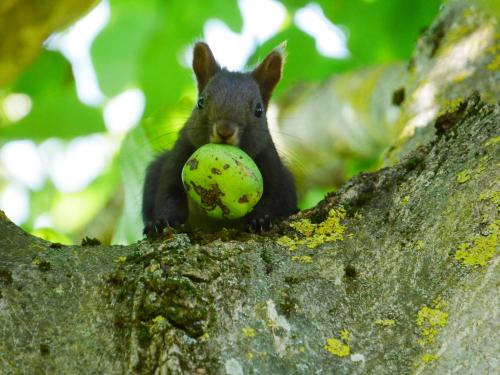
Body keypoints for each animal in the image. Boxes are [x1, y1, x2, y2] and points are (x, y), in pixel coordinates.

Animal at [141, 42, 296, 236]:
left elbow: (271, 196)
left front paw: (261, 220)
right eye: (200, 102)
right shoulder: (180, 153)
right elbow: (168, 191)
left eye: (259, 110)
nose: (225, 130)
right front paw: (163, 222)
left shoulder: (271, 163)